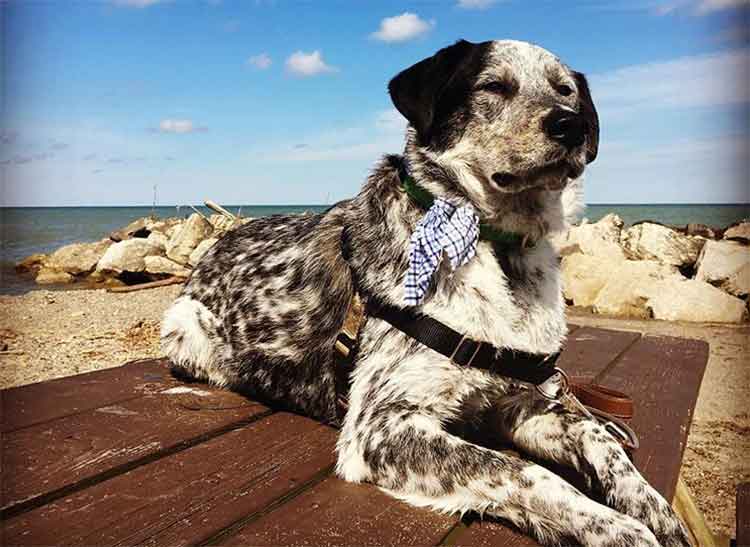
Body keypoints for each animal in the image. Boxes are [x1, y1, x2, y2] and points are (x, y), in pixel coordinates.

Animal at [162, 39, 696, 547]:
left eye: (566, 91)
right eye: (493, 86)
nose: (571, 125)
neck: (496, 247)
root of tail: (221, 239)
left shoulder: (520, 404)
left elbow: (598, 435)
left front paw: (657, 515)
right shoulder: (384, 426)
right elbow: (522, 471)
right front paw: (621, 530)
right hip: (183, 325)